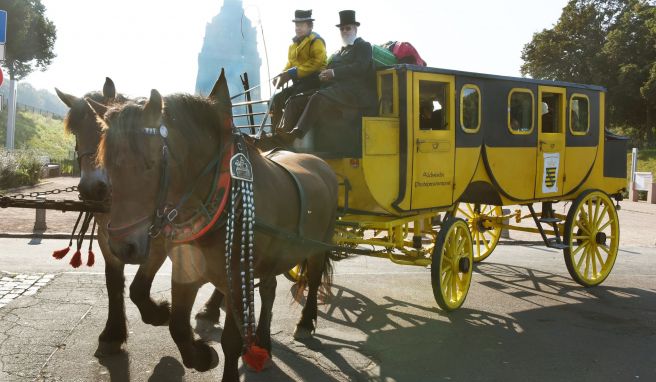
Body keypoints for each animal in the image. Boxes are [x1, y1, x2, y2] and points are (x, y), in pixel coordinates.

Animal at [54, 79, 228, 356]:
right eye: (76, 133)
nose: (93, 189)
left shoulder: (159, 240)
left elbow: (137, 288)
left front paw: (158, 313)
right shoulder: (108, 239)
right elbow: (113, 282)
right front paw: (113, 331)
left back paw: (211, 308)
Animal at [91, 70, 338, 380]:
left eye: (150, 163)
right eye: (107, 164)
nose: (122, 246)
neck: (222, 196)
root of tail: (321, 163)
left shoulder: (237, 276)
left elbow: (231, 340)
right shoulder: (187, 268)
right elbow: (177, 326)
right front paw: (201, 355)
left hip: (318, 245)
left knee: (314, 279)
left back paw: (304, 323)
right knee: (269, 289)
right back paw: (262, 340)